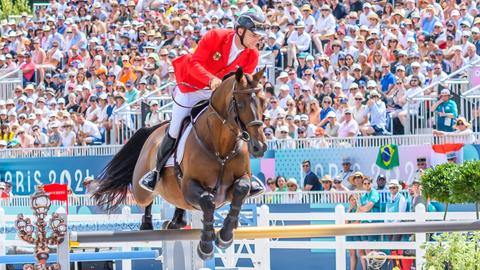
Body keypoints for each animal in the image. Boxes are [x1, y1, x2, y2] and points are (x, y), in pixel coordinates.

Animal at [92, 67, 268, 260]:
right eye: (241, 104)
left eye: (264, 102)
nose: (260, 147)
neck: (221, 146)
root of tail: (154, 129)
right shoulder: (190, 185)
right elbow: (208, 201)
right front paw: (206, 246)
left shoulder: (240, 180)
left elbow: (240, 189)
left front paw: (225, 236)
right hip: (142, 191)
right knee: (146, 200)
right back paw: (147, 224)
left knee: (177, 207)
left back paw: (176, 221)